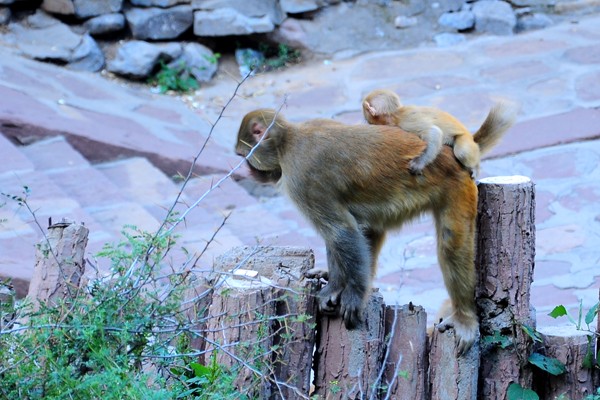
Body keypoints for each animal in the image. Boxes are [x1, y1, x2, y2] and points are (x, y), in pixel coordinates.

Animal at [236, 108, 510, 354]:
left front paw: (350, 294)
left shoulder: (300, 178)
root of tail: (450, 154)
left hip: (456, 186)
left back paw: (464, 316)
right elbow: (344, 232)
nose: (245, 169)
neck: (288, 141)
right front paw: (336, 284)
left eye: (244, 154)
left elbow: (341, 231)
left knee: (451, 246)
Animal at [364, 89, 512, 177]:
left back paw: (476, 167)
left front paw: (419, 163)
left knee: (462, 152)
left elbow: (433, 132)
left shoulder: (406, 123)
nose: (370, 124)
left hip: (465, 140)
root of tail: (471, 137)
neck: (396, 115)